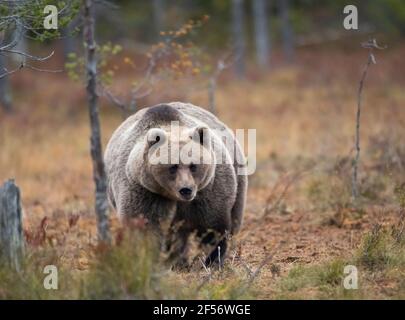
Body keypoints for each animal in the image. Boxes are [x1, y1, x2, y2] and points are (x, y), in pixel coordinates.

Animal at [104, 102, 246, 264]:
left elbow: (212, 225)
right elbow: (146, 226)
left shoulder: (208, 189)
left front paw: (211, 258)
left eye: (193, 165)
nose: (186, 189)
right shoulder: (145, 191)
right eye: (172, 166)